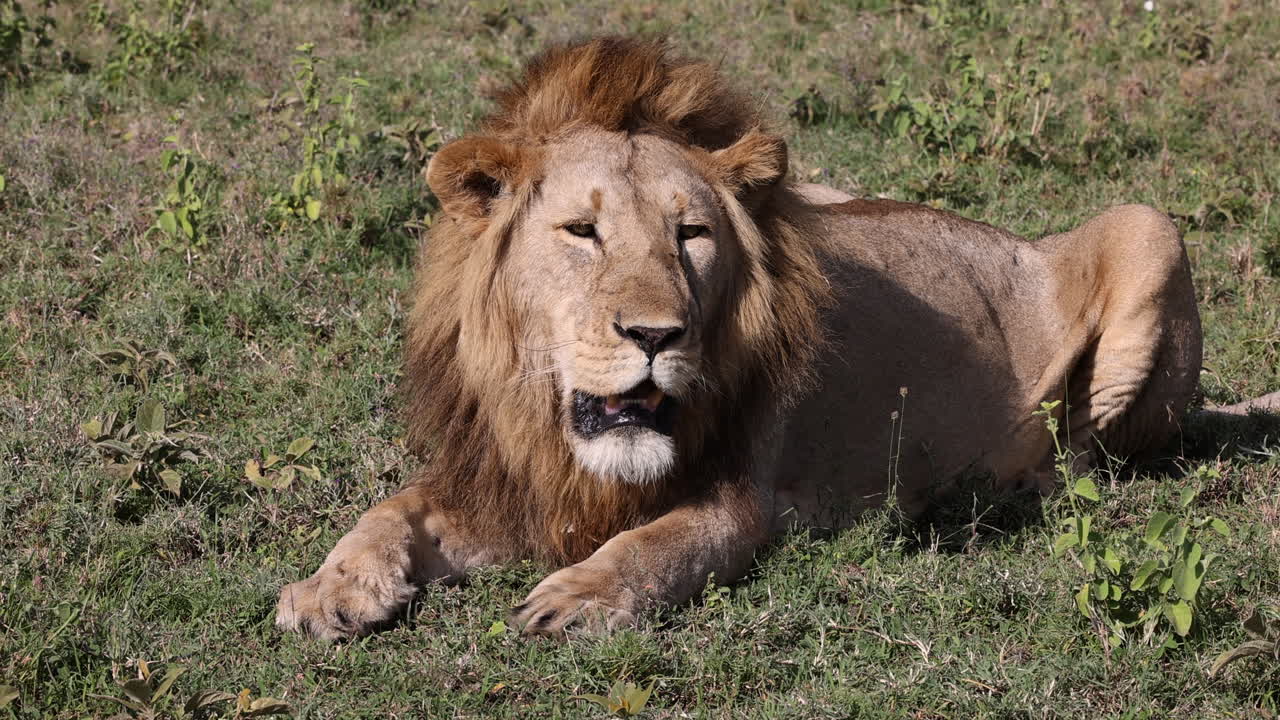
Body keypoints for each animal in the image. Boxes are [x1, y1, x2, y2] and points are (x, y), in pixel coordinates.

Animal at [276, 36, 1214, 640]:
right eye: (582, 232)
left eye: (692, 235)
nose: (657, 334)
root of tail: (1028, 241)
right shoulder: (508, 483)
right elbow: (389, 511)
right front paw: (327, 589)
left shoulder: (746, 496)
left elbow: (658, 544)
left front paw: (578, 598)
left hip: (1148, 227)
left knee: (1088, 453)